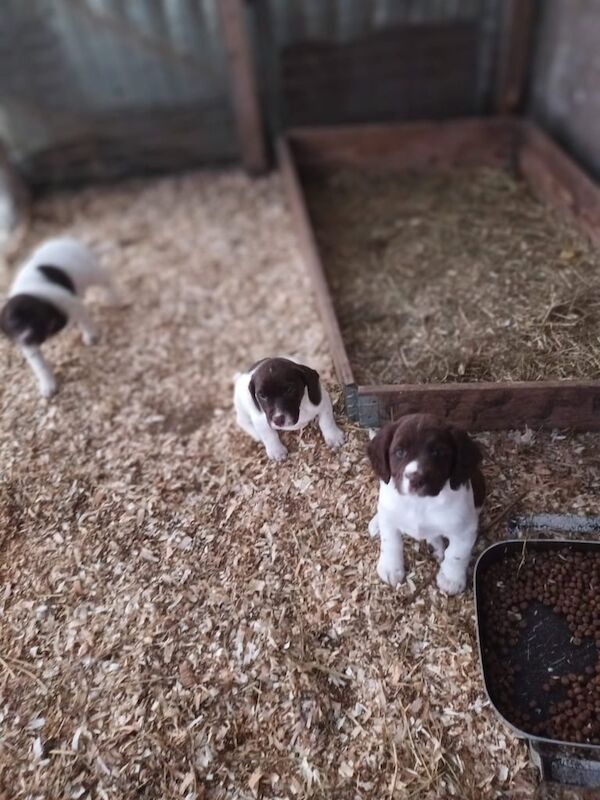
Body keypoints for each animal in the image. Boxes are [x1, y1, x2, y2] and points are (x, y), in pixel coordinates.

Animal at [0, 238, 117, 400]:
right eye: (14, 326)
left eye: (34, 319)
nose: (27, 337)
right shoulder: (28, 345)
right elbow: (40, 365)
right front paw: (48, 385)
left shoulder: (70, 302)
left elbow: (84, 320)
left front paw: (91, 336)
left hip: (93, 272)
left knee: (107, 281)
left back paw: (115, 298)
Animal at [366, 412, 488, 592]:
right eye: (400, 452)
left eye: (438, 452)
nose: (416, 479)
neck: (419, 503)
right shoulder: (390, 517)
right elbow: (391, 542)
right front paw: (390, 568)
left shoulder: (464, 529)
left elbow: (457, 553)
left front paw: (451, 579)